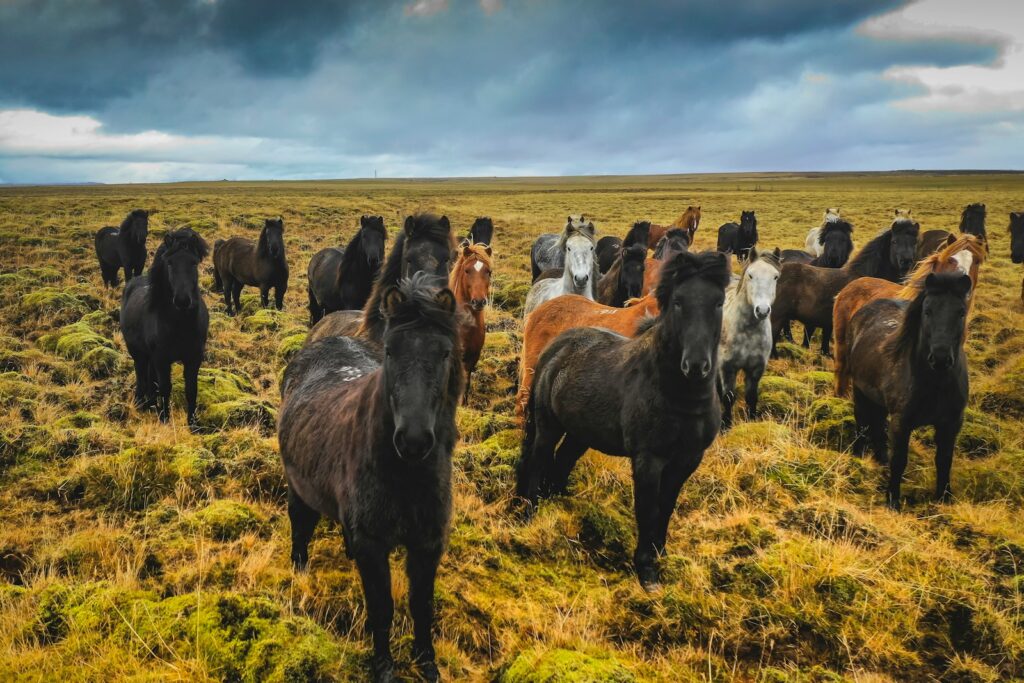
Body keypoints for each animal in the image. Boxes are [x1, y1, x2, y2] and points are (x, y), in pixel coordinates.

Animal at [120, 228, 210, 427]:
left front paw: (193, 423)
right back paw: (141, 403)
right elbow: (165, 388)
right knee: (141, 375)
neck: (180, 325)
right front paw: (165, 419)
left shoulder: (194, 358)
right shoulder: (161, 359)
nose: (182, 300)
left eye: (193, 262)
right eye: (169, 263)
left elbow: (191, 389)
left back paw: (151, 403)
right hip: (138, 353)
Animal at [278, 274, 462, 682]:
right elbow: (382, 609)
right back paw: (299, 574)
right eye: (391, 351)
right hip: (299, 489)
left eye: (445, 353)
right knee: (300, 527)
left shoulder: (428, 544)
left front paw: (427, 663)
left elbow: (421, 606)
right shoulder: (374, 546)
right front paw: (383, 667)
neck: (406, 478)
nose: (413, 439)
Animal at [517, 251, 730, 590]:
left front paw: (660, 555)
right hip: (547, 423)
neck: (679, 399)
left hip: (581, 432)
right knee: (538, 458)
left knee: (562, 459)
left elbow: (666, 506)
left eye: (719, 302)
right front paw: (646, 570)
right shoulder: (648, 459)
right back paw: (529, 512)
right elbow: (647, 507)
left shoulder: (688, 459)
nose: (696, 365)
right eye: (678, 302)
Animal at [719, 248, 781, 430]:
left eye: (775, 276)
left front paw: (752, 420)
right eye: (751, 275)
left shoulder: (756, 368)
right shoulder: (727, 367)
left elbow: (752, 396)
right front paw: (726, 425)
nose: (762, 310)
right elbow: (728, 397)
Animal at [845, 272, 972, 509]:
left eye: (961, 312)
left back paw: (881, 459)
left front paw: (944, 498)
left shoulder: (951, 423)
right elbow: (900, 460)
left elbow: (944, 460)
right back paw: (858, 456)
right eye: (927, 310)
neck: (935, 383)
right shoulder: (901, 422)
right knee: (863, 422)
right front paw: (893, 500)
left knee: (877, 425)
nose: (940, 358)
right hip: (860, 391)